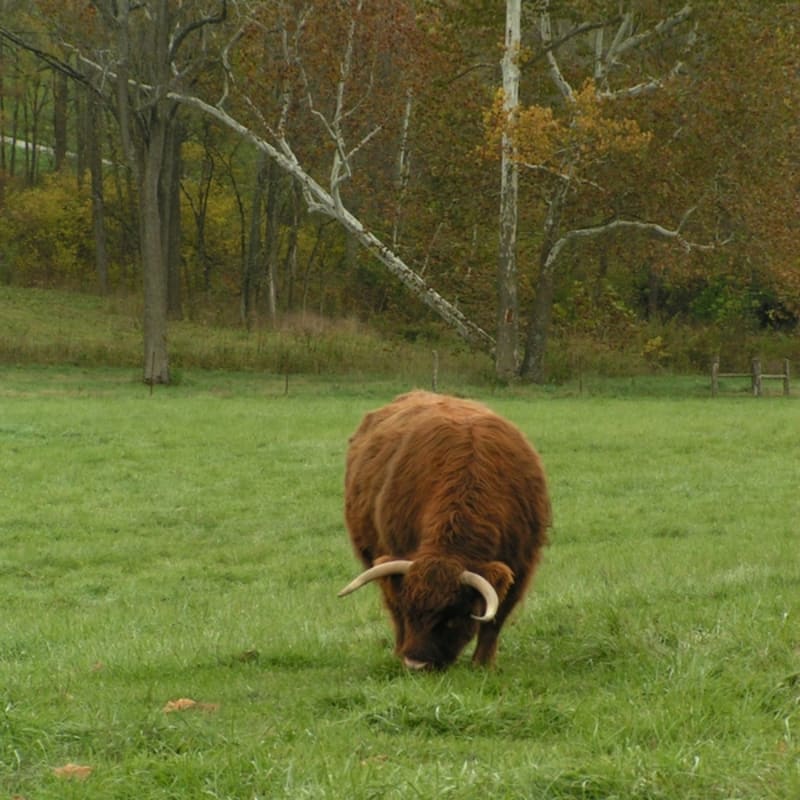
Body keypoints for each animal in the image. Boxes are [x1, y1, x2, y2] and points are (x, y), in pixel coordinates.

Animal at [338, 390, 551, 670]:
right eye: (411, 612)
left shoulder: (520, 565)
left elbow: (495, 619)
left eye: (451, 618)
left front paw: (483, 665)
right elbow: (396, 607)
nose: (415, 664)